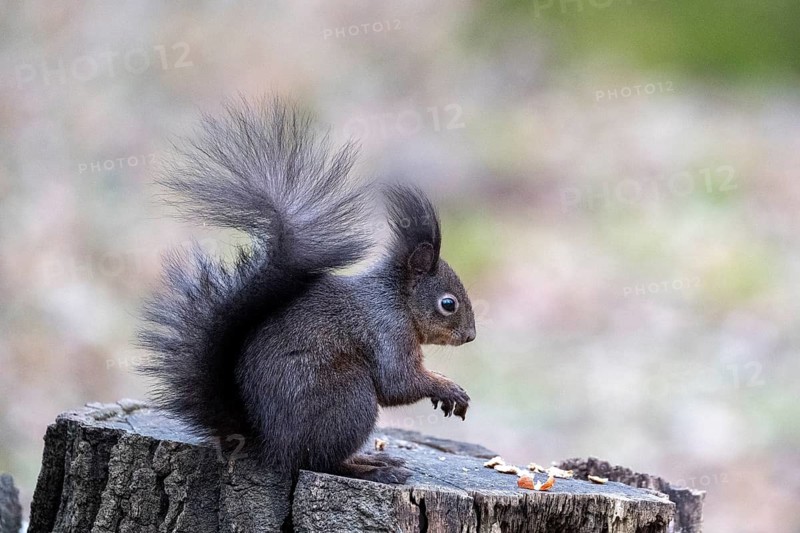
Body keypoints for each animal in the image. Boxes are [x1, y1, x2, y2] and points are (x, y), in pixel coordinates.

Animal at [138, 98, 476, 484]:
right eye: (448, 303)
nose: (470, 336)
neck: (396, 300)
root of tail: (270, 444)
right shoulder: (387, 330)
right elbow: (398, 382)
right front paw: (447, 388)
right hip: (349, 398)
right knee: (320, 460)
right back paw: (374, 468)